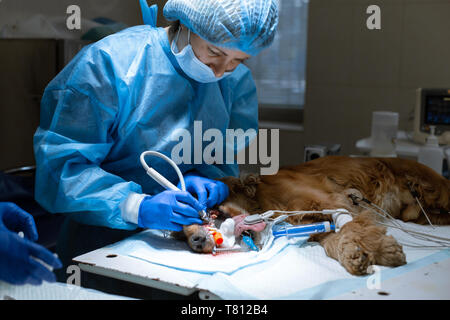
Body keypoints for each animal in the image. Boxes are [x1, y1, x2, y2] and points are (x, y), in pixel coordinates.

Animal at [178, 157, 448, 276]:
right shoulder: (318, 223)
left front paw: (382, 251)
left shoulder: (336, 203)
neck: (263, 198)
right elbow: (333, 241)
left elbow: (352, 229)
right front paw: (355, 256)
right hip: (419, 215)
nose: (196, 242)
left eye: (207, 213)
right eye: (180, 235)